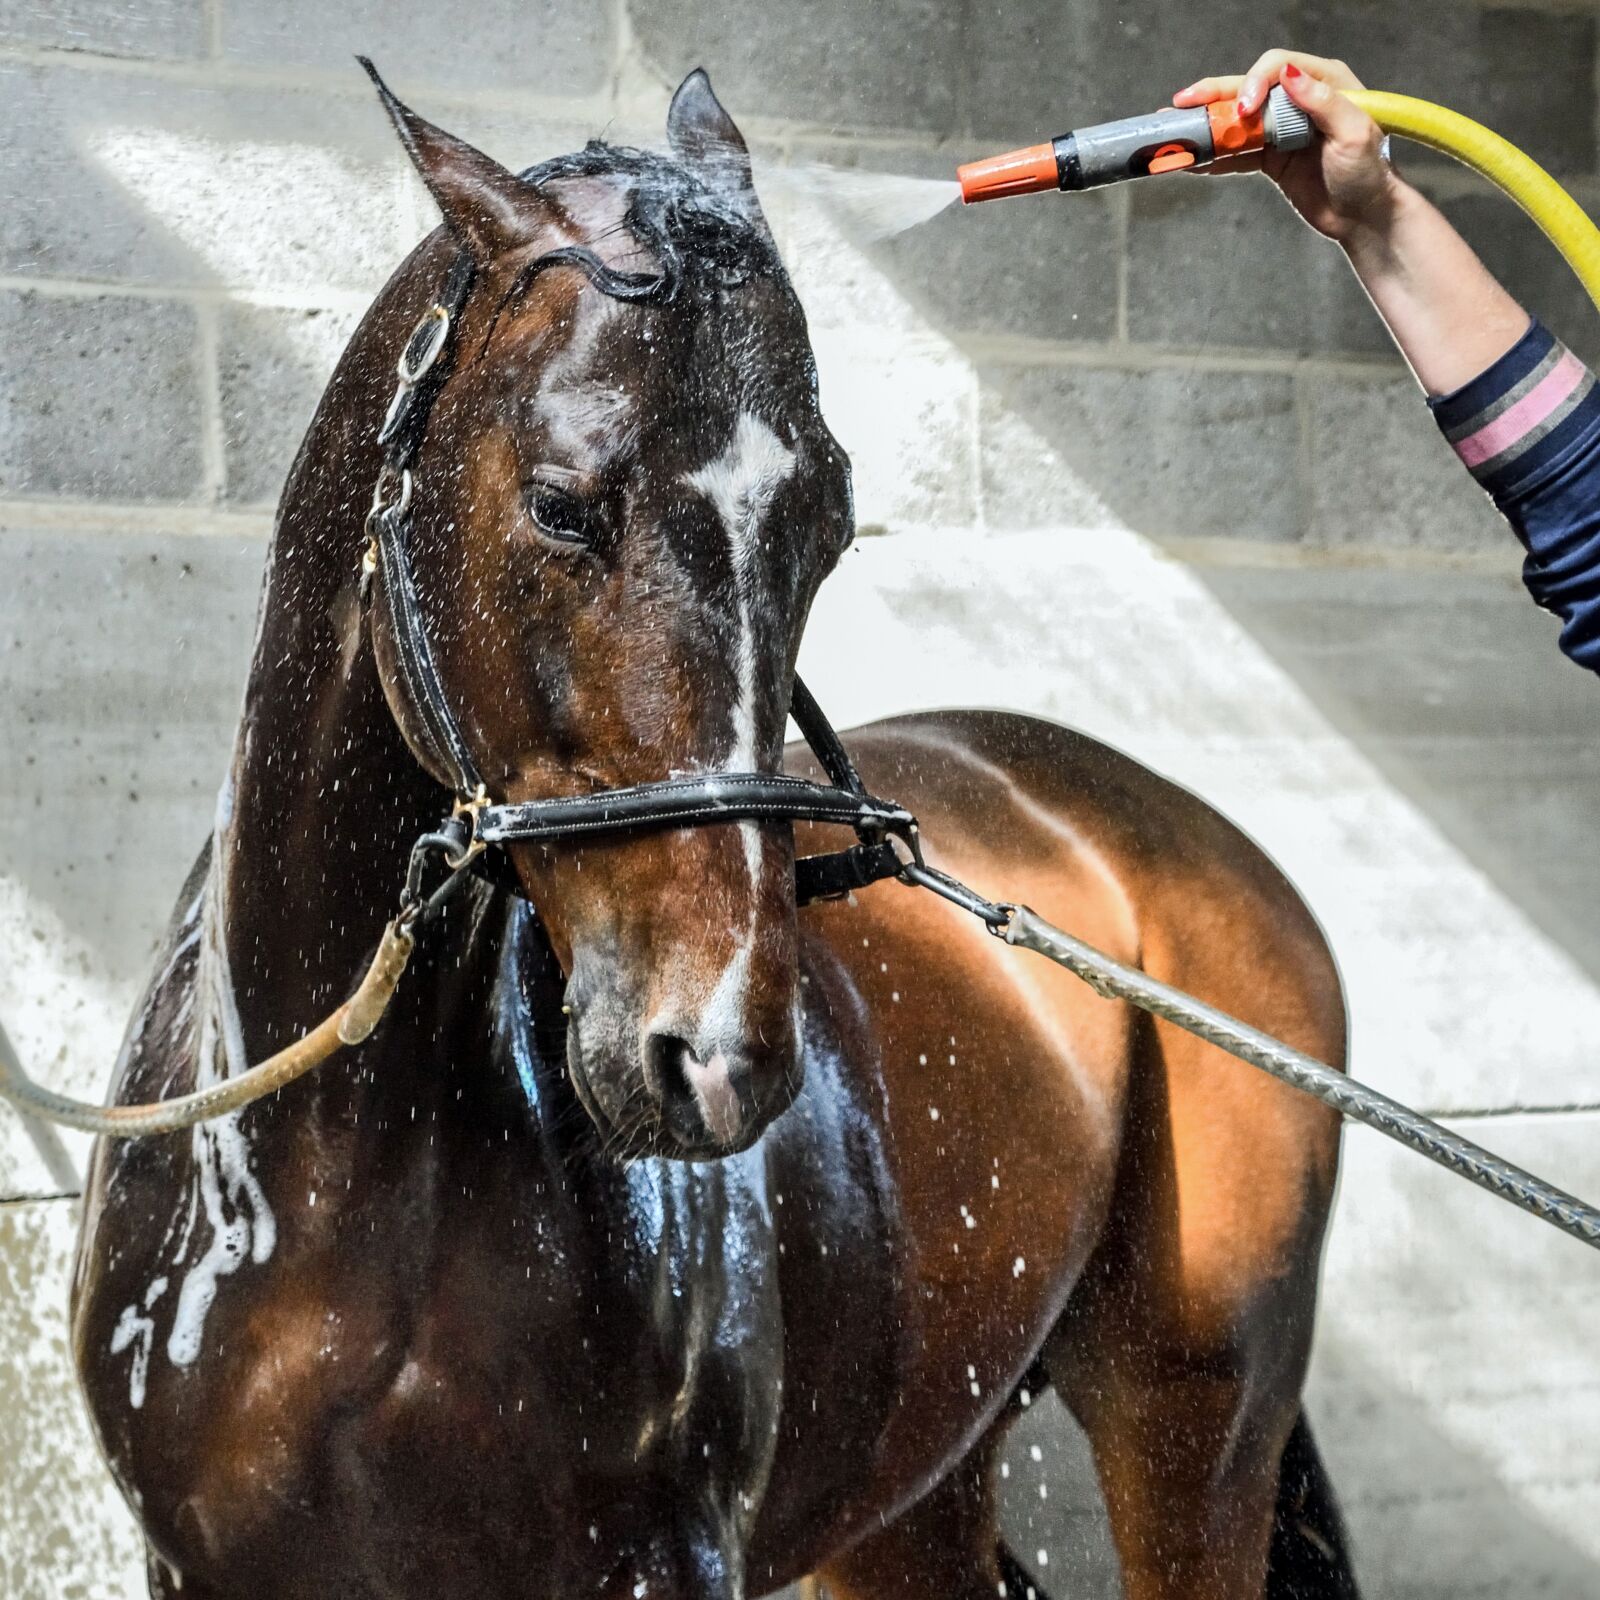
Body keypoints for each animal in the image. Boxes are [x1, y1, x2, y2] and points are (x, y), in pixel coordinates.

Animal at [71, 65, 1357, 1600]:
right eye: (562, 504)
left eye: (831, 524)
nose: (721, 1057)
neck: (320, 1189)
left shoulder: (661, 1558)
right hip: (915, 1492)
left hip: (1191, 1429)